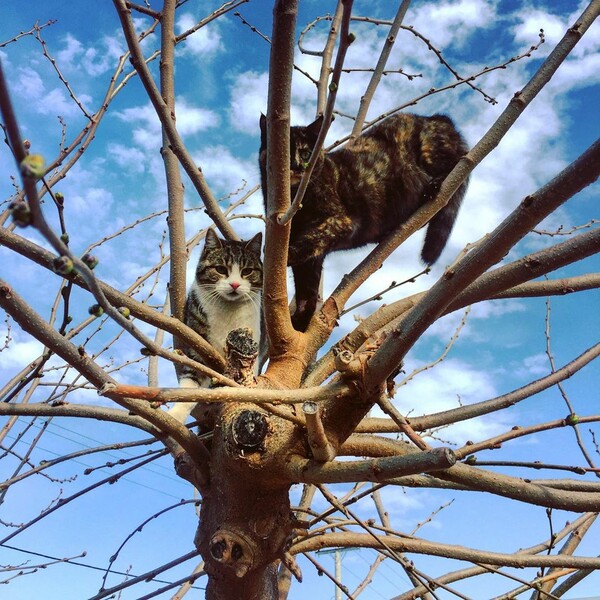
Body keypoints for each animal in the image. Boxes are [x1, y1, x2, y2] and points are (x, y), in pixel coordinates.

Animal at [169, 229, 262, 422]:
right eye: (220, 269)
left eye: (247, 271)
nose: (235, 284)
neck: (228, 310)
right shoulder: (197, 350)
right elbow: (189, 386)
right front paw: (174, 415)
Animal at [258, 110, 468, 330]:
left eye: (307, 153)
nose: (297, 166)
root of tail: (437, 117)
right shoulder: (311, 259)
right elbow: (307, 292)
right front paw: (300, 322)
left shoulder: (340, 222)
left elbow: (312, 240)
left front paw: (283, 256)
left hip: (430, 153)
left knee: (453, 171)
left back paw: (434, 186)